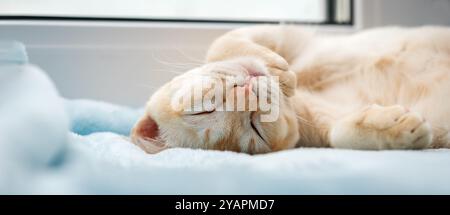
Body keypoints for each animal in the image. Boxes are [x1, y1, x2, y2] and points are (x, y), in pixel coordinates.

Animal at [129, 25, 450, 155]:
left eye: (202, 109)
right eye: (255, 127)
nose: (246, 93)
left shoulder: (293, 37)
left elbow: (221, 41)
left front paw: (279, 69)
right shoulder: (323, 126)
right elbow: (339, 134)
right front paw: (394, 128)